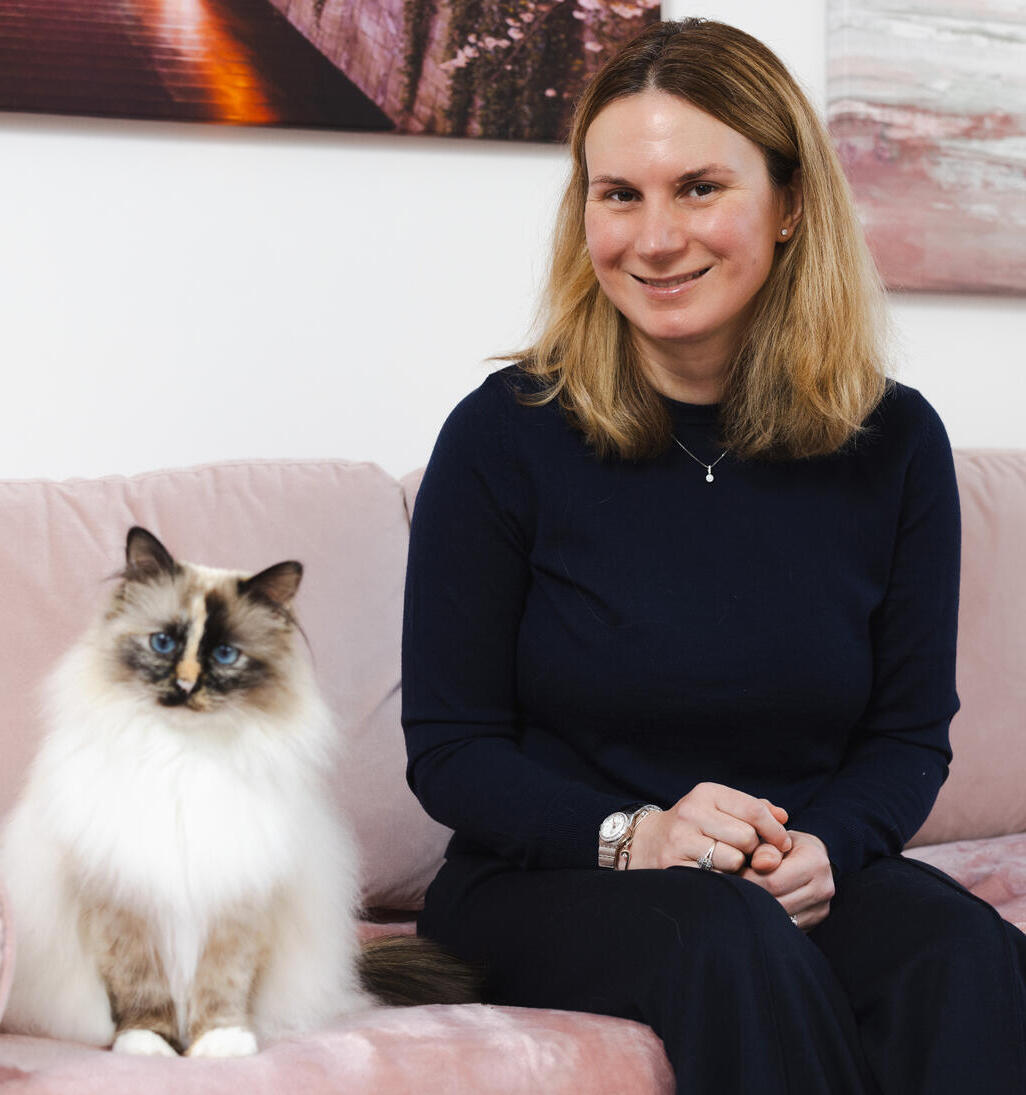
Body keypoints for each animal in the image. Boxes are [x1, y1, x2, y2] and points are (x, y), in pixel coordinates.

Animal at [0, 525, 475, 1055]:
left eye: (226, 654)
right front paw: (149, 1045)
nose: (187, 686)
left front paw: (219, 1046)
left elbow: (222, 985)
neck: (183, 759)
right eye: (163, 643)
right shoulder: (126, 905)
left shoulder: (237, 900)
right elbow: (140, 989)